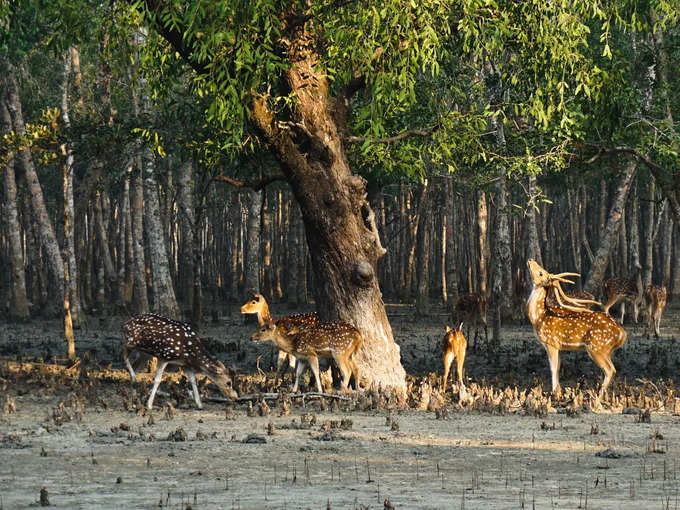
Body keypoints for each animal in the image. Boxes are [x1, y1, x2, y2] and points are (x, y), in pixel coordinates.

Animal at [524, 260, 628, 404]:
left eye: (541, 273)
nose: (530, 260)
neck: (539, 318)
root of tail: (622, 333)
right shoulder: (558, 346)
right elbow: (558, 368)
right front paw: (559, 392)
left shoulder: (551, 343)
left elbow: (552, 368)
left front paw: (554, 394)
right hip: (607, 350)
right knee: (612, 368)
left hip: (596, 347)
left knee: (610, 370)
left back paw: (597, 398)